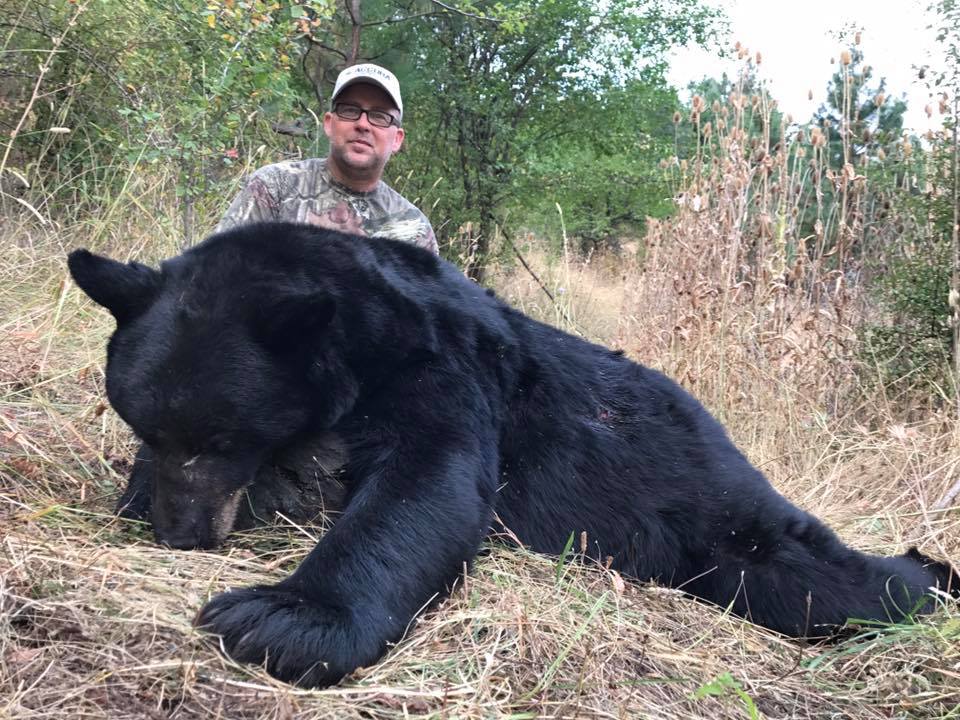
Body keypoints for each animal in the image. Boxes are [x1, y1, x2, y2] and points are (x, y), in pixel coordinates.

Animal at [68, 221, 958, 688]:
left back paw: (931, 573)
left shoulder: (443, 365)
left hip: (710, 506)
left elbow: (428, 488)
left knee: (818, 578)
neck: (363, 329)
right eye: (145, 424)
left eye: (223, 438)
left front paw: (278, 617)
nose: (181, 532)